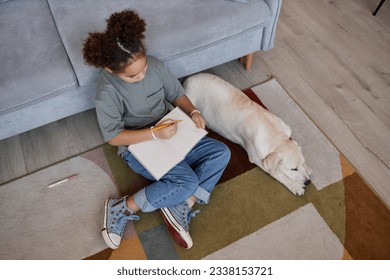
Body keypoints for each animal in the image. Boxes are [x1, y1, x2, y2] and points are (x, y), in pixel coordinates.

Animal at [184, 72, 312, 195]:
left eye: (302, 163)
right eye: (293, 169)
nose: (309, 182)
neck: (276, 136)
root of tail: (188, 79)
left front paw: (308, 168)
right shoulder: (258, 159)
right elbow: (276, 173)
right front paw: (294, 186)